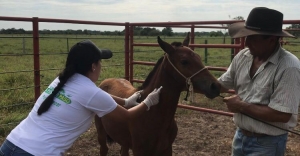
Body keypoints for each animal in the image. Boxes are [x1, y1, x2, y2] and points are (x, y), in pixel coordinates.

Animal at [95, 32, 223, 155]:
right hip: (101, 134)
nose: (215, 86)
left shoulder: (167, 149)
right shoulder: (139, 151)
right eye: (184, 61)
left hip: (123, 141)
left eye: (199, 57)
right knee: (104, 149)